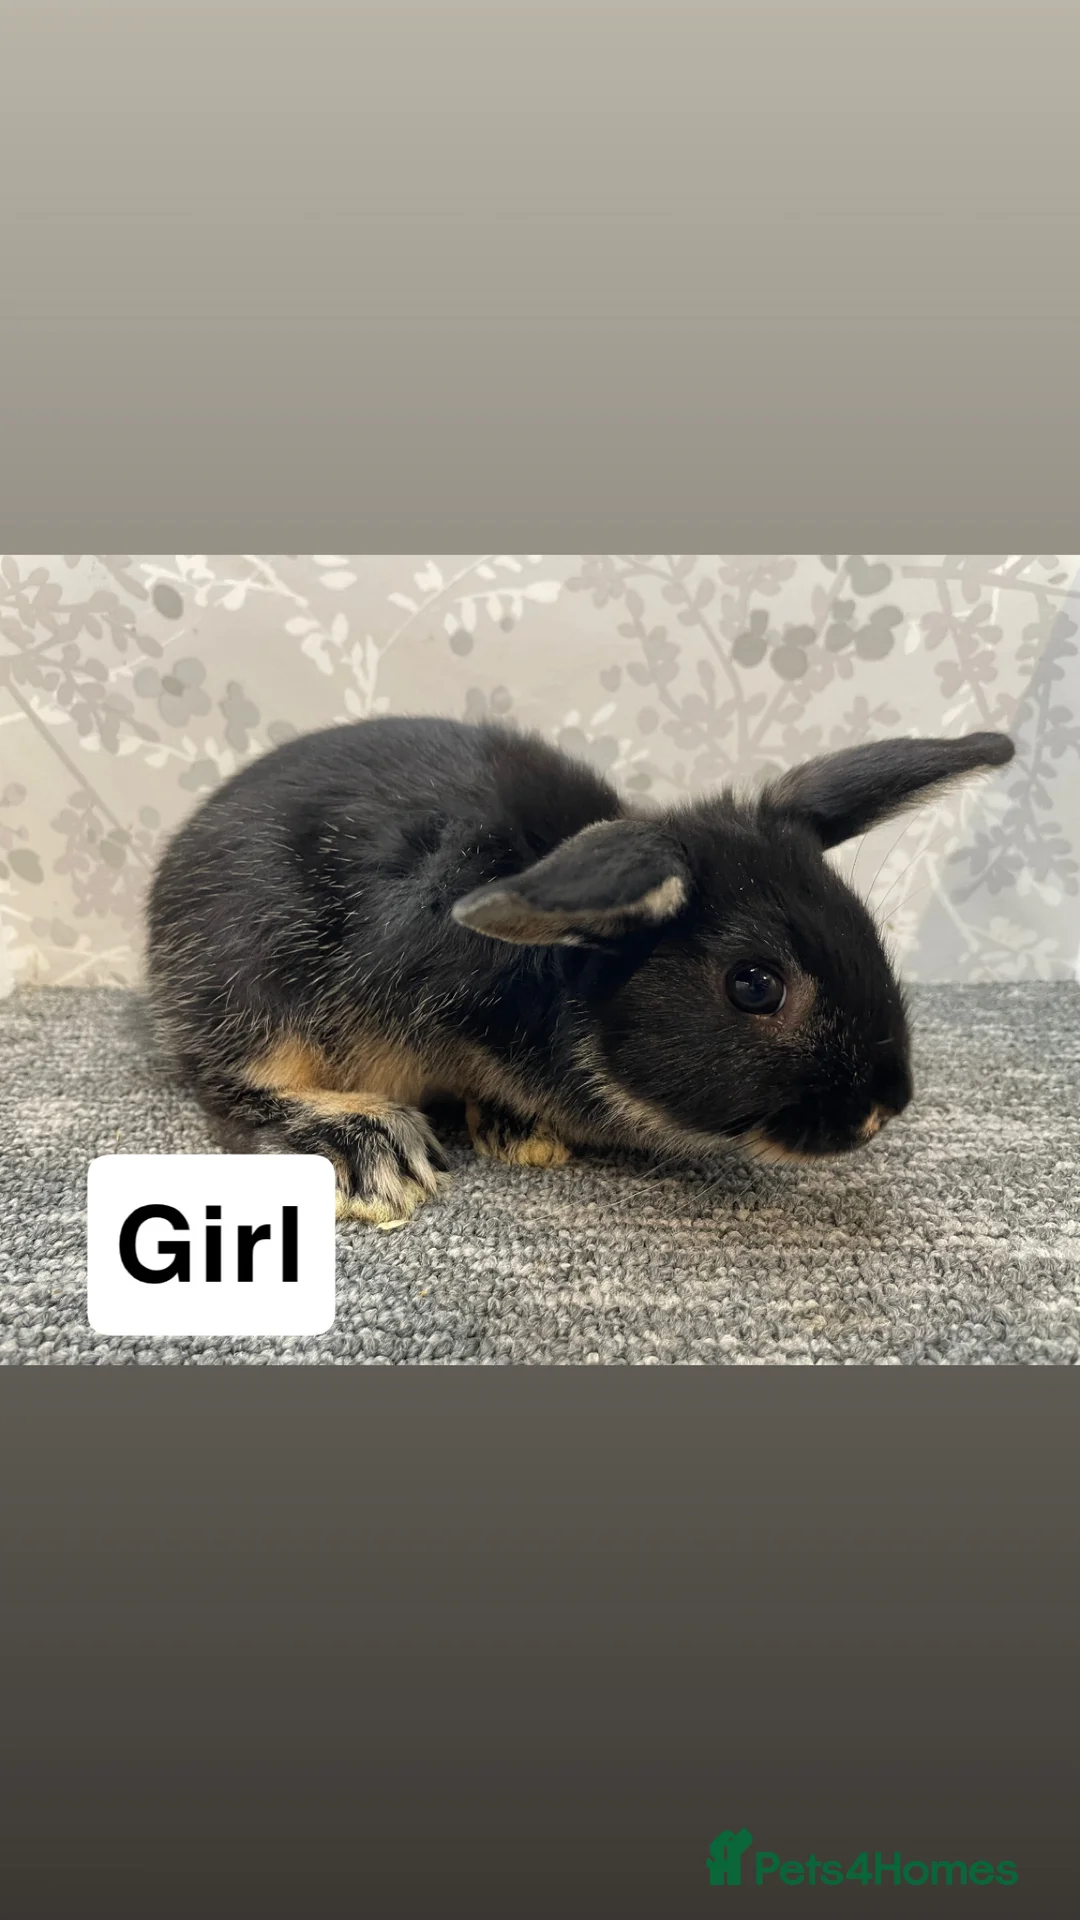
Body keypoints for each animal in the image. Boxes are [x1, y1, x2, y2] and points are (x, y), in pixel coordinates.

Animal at [145, 715, 1015, 1227]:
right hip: (253, 982)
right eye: (754, 985)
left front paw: (522, 1133)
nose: (883, 1108)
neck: (552, 977)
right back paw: (375, 1155)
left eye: (865, 925)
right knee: (229, 1084)